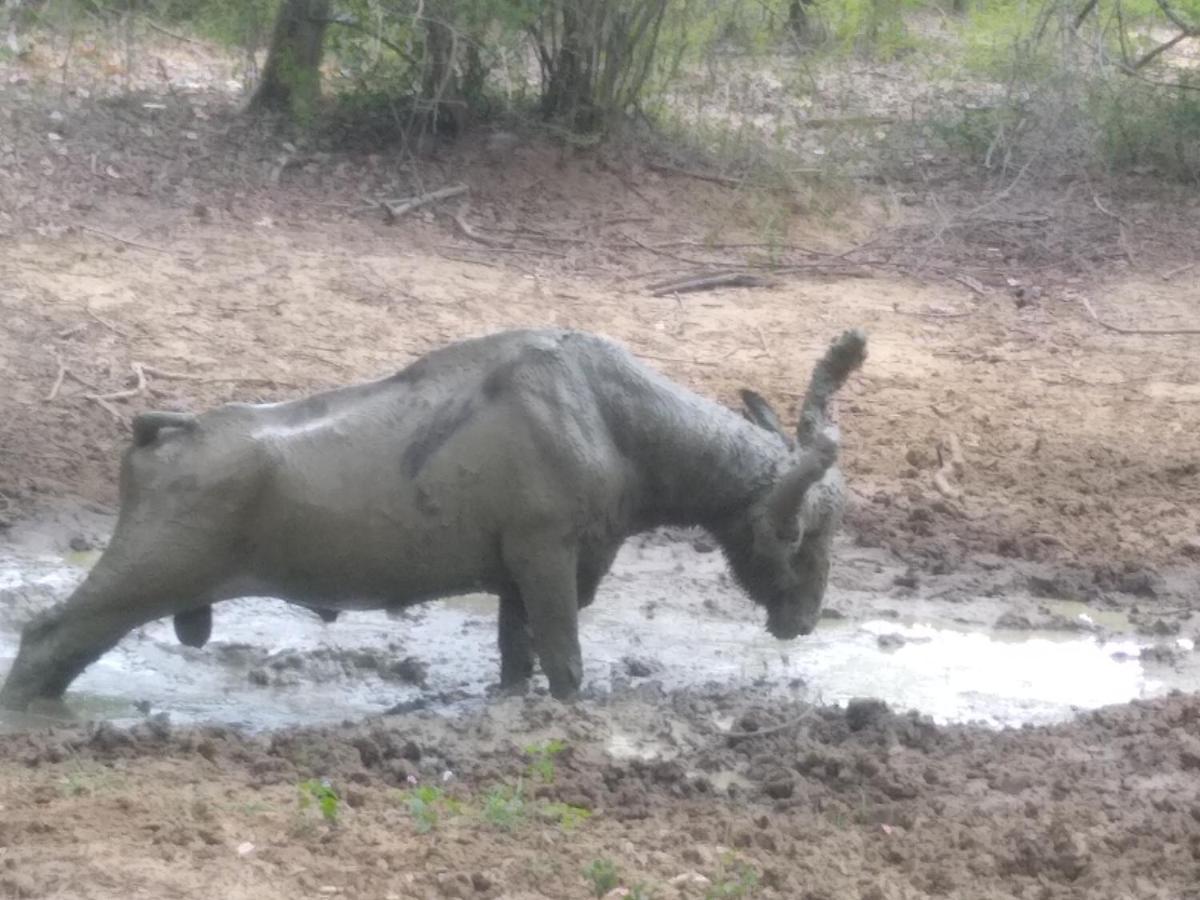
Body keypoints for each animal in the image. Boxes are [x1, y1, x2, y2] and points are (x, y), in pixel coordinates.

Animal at [0, 328, 864, 710]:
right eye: (811, 535)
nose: (804, 620)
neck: (609, 414)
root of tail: (168, 431)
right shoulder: (549, 564)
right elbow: (566, 666)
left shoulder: (520, 580)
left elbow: (517, 660)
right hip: (136, 582)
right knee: (44, 639)